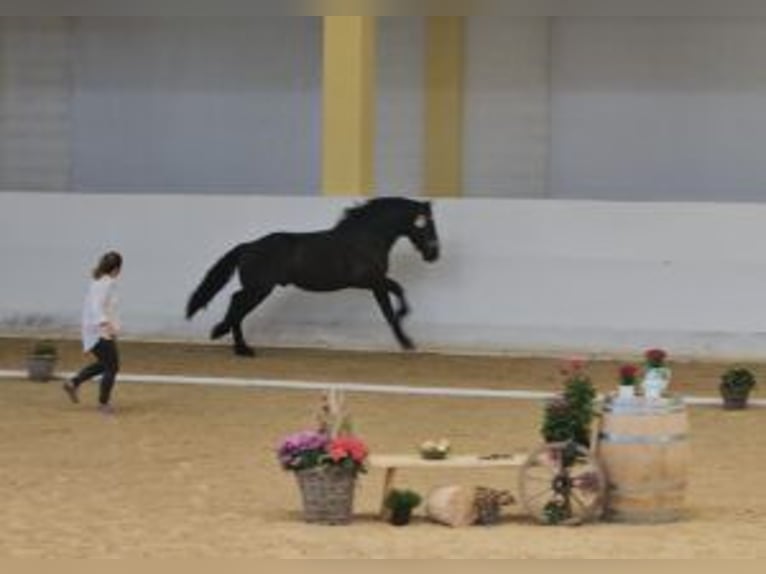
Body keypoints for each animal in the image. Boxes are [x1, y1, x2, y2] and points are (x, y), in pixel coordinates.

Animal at [183, 200, 440, 358]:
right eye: (426, 224)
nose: (433, 254)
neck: (367, 237)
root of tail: (247, 246)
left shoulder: (375, 283)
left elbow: (391, 306)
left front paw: (405, 341)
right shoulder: (369, 280)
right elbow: (397, 294)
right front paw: (406, 333)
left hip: (258, 288)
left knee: (236, 302)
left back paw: (236, 344)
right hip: (259, 289)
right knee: (236, 303)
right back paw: (232, 341)